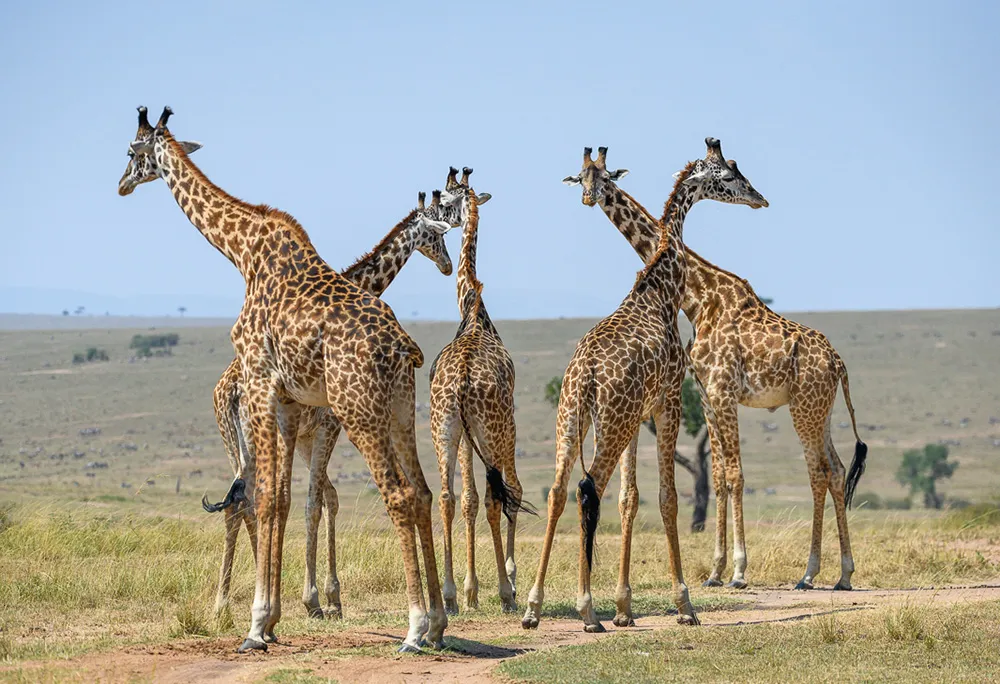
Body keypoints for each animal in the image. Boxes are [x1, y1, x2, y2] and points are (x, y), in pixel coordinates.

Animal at [203, 189, 460, 621]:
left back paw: (227, 600)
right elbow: (315, 503)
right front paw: (317, 598)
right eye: (437, 234)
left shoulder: (310, 434)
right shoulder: (328, 425)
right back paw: (237, 597)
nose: (446, 265)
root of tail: (228, 391)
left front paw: (324, 596)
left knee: (240, 501)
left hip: (233, 443)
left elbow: (325, 498)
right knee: (247, 500)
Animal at [521, 140, 768, 633]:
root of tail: (586, 375)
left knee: (559, 490)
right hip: (611, 421)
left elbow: (629, 499)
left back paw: (534, 608)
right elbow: (667, 498)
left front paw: (624, 608)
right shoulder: (668, 400)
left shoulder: (638, 415)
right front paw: (684, 604)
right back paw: (586, 610)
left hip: (573, 419)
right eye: (730, 175)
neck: (662, 286)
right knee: (587, 488)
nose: (759, 198)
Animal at [571, 150, 868, 591]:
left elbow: (735, 476)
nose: (590, 197)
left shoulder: (725, 390)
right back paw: (843, 573)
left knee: (817, 471)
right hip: (822, 408)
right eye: (581, 177)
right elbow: (719, 477)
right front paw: (715, 571)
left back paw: (809, 573)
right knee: (835, 469)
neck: (698, 298)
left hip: (805, 408)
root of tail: (838, 362)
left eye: (606, 177)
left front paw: (740, 571)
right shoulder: (709, 395)